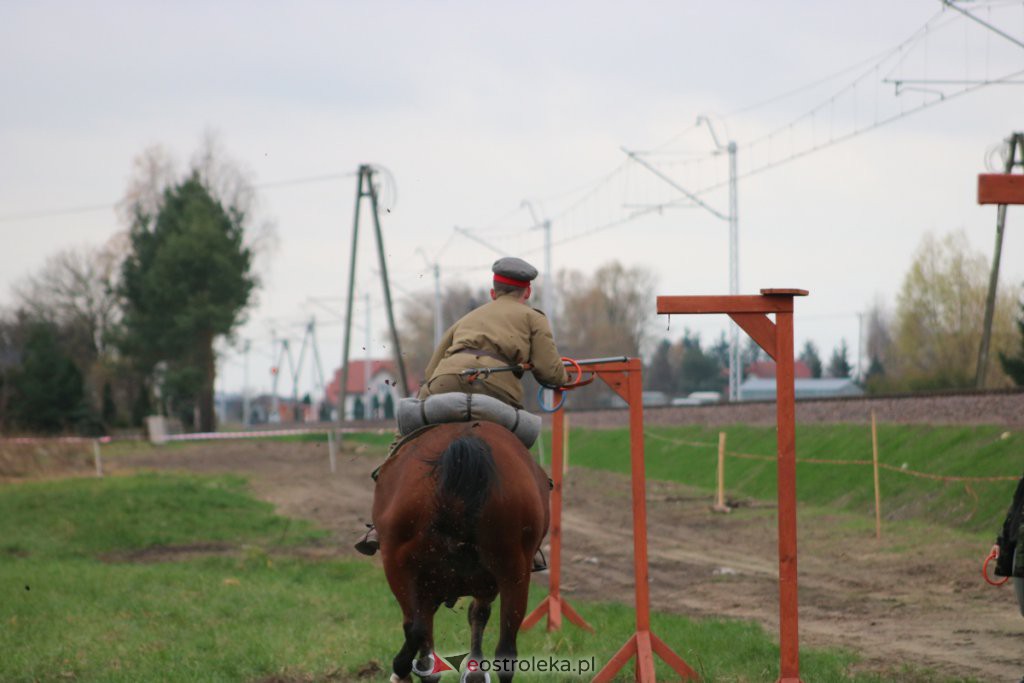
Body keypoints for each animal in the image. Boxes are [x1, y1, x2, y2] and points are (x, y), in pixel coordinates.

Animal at [374, 421, 552, 683]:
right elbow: (477, 615)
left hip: (399, 565)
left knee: (415, 627)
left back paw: (403, 668)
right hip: (514, 573)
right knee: (506, 650)